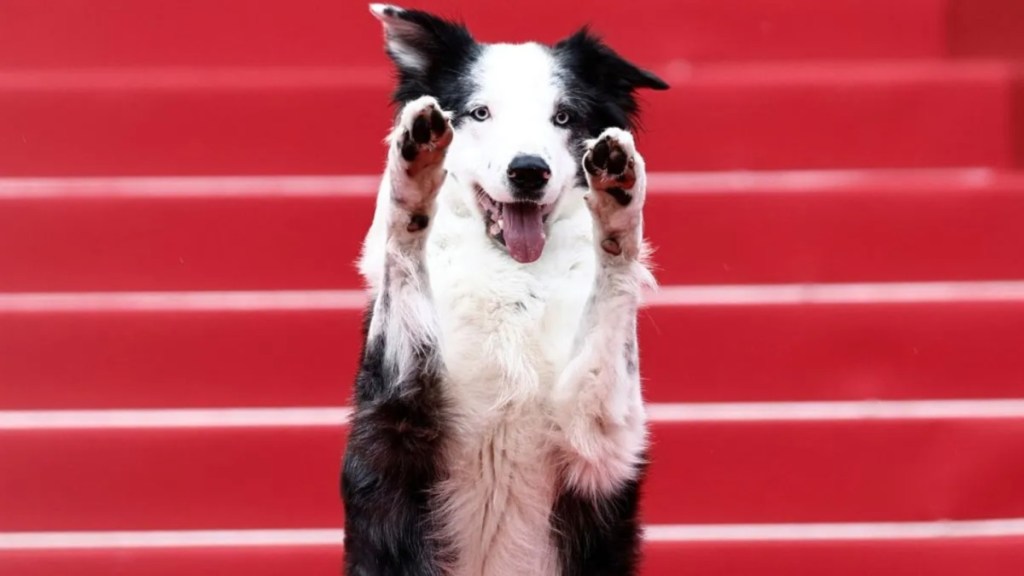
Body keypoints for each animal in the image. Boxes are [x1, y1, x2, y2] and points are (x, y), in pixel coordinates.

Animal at [339, 5, 667, 573]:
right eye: (479, 113)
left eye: (564, 117)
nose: (529, 171)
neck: (514, 284)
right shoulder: (397, 403)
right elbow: (404, 245)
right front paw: (414, 168)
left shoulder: (601, 438)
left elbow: (613, 282)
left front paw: (619, 199)